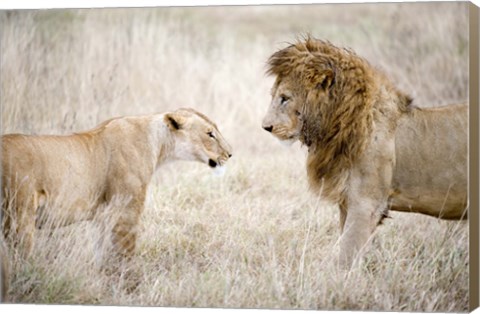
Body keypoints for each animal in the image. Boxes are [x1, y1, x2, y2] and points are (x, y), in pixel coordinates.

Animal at [0, 107, 232, 262]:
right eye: (210, 133)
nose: (230, 154)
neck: (158, 144)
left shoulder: (103, 216)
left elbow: (103, 254)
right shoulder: (125, 211)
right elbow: (124, 255)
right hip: (19, 218)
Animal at [260, 36, 466, 268]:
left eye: (284, 98)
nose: (265, 127)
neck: (339, 126)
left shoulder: (366, 204)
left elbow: (346, 256)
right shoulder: (347, 202)